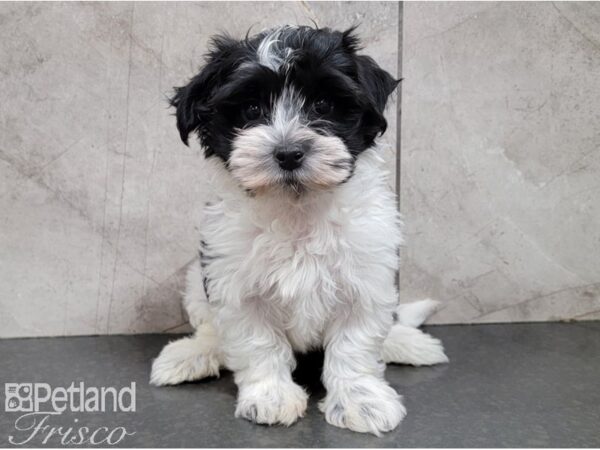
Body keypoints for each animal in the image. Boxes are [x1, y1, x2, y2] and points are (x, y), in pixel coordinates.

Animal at [152, 25, 448, 436]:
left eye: (322, 105)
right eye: (252, 110)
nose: (289, 152)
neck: (297, 210)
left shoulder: (366, 280)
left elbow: (354, 345)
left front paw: (361, 401)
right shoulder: (236, 284)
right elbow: (258, 343)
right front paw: (271, 397)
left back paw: (409, 343)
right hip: (198, 279)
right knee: (211, 330)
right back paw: (190, 354)